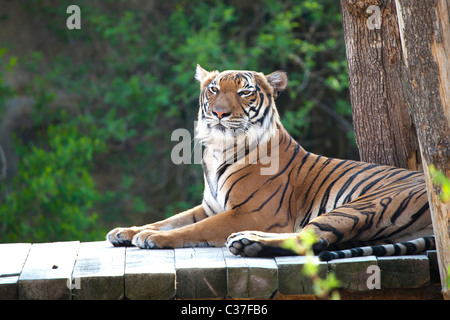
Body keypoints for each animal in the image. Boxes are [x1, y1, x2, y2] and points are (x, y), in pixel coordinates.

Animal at [106, 64, 436, 260]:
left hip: (361, 205)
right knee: (321, 240)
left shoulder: (251, 212)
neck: (218, 150)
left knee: (312, 238)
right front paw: (126, 231)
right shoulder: (209, 206)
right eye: (214, 89)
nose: (219, 113)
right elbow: (170, 219)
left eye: (244, 91)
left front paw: (150, 238)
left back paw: (246, 240)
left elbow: (192, 229)